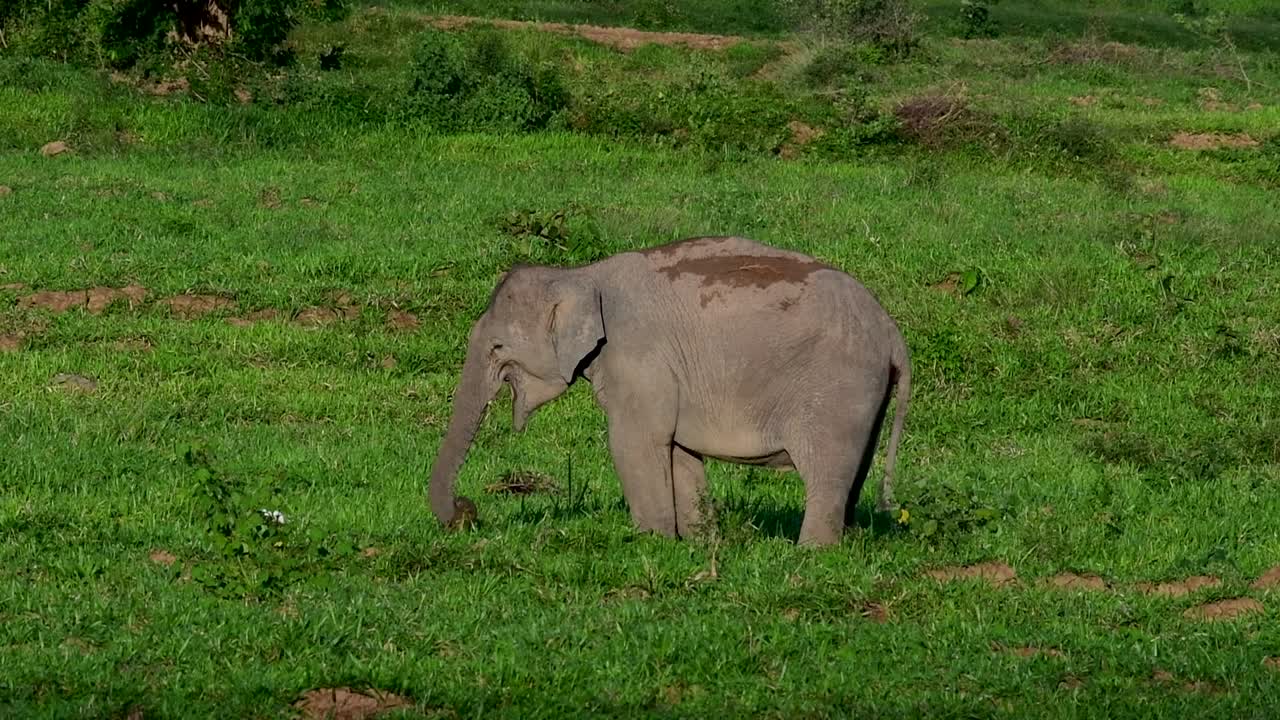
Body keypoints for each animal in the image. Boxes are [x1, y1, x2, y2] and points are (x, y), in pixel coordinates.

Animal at [426, 235, 912, 546]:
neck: (580, 275)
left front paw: (650, 543)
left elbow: (634, 443)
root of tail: (892, 332)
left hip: (836, 390)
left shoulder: (638, 358)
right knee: (854, 472)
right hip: (866, 396)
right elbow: (678, 451)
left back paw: (811, 554)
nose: (467, 513)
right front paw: (695, 543)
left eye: (497, 347)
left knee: (826, 473)